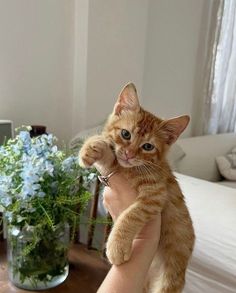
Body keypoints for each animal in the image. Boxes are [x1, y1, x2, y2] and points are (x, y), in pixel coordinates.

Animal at [79, 82, 195, 292]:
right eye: (126, 134)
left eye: (148, 146)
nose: (129, 154)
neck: (130, 170)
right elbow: (107, 152)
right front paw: (92, 147)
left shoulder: (156, 195)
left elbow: (131, 214)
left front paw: (117, 246)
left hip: (169, 279)